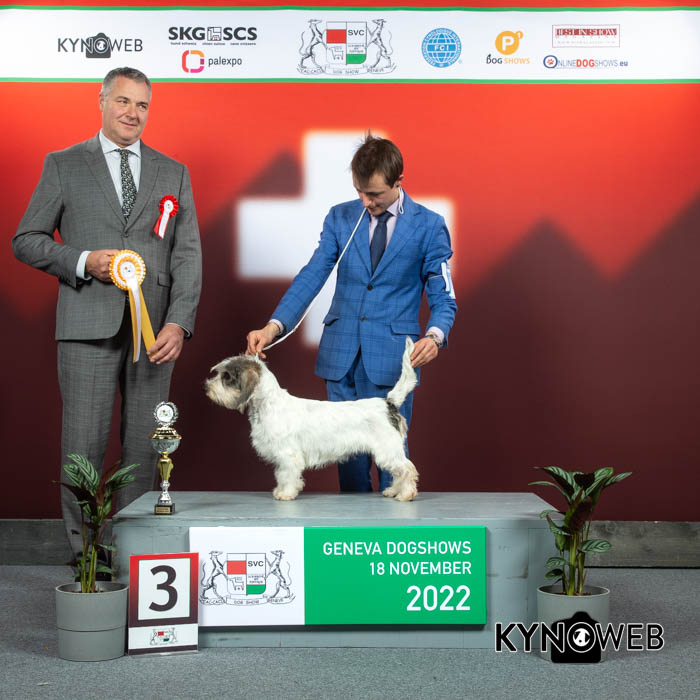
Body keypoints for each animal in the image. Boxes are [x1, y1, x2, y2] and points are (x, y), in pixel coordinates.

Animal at [205, 337, 419, 501]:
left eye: (227, 377)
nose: (207, 388)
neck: (267, 404)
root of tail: (388, 402)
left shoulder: (288, 454)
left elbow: (287, 475)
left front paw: (285, 494)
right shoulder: (281, 456)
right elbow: (281, 475)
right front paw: (281, 490)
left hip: (387, 450)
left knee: (406, 469)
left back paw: (405, 494)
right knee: (398, 471)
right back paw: (393, 491)